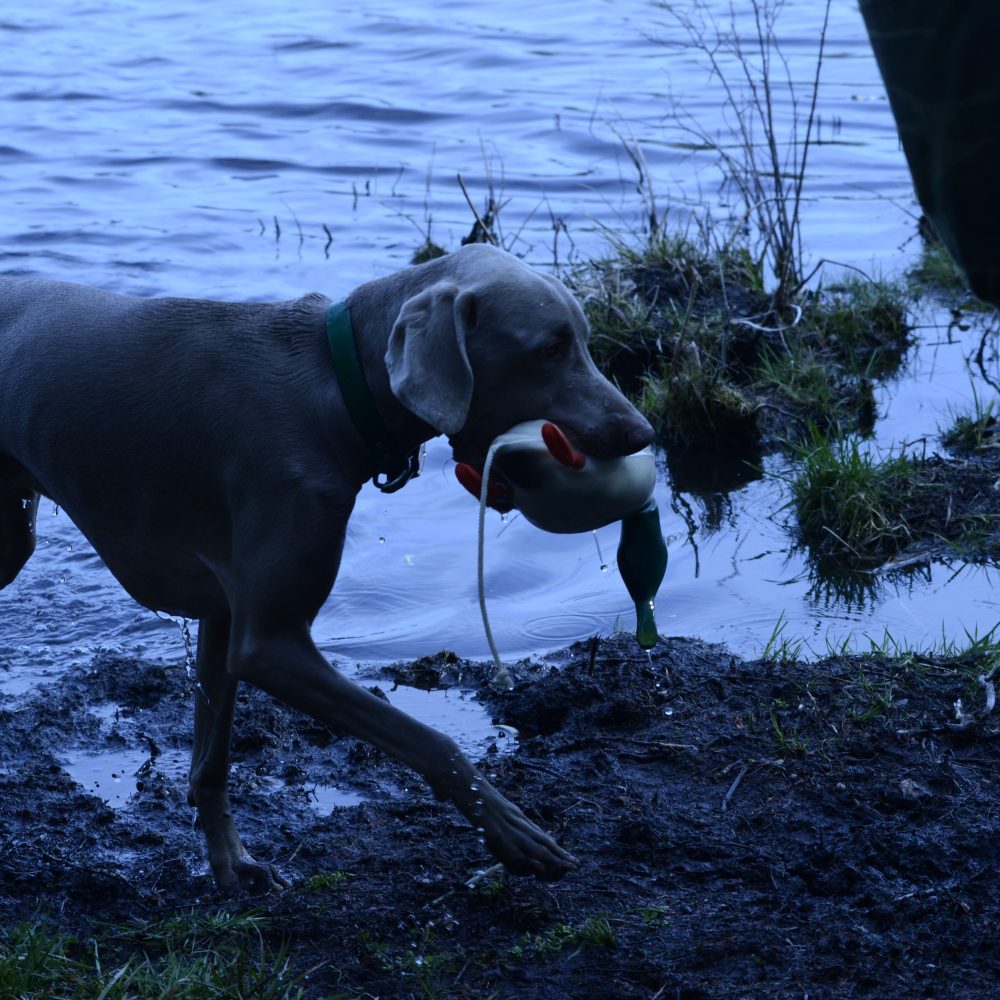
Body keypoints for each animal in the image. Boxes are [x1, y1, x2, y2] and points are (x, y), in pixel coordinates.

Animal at [0, 246, 656, 896]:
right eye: (549, 348)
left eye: (584, 341)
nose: (643, 432)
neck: (336, 386)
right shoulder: (271, 643)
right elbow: (429, 739)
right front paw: (511, 830)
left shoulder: (225, 613)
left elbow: (212, 761)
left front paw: (230, 865)